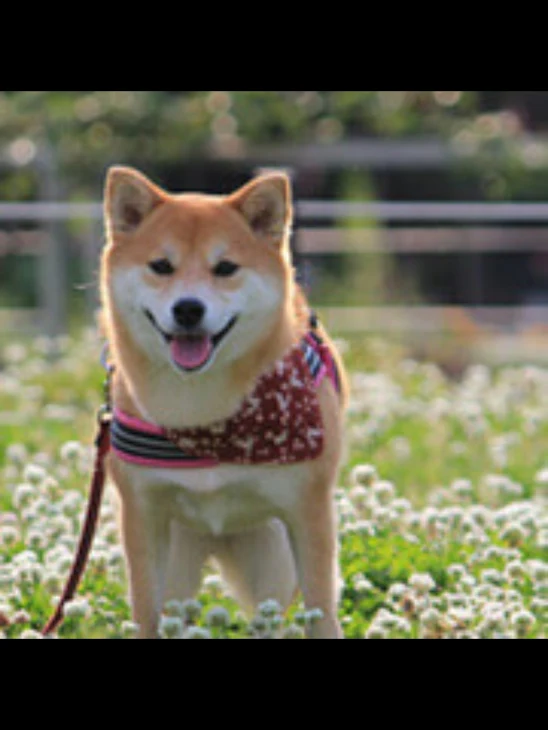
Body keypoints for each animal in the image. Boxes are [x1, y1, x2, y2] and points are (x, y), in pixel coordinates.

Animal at [101, 166, 348, 636]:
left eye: (226, 268)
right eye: (161, 266)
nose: (188, 308)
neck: (205, 416)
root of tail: (216, 540)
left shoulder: (308, 514)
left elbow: (322, 613)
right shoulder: (142, 516)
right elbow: (146, 613)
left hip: (272, 561)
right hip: (180, 564)